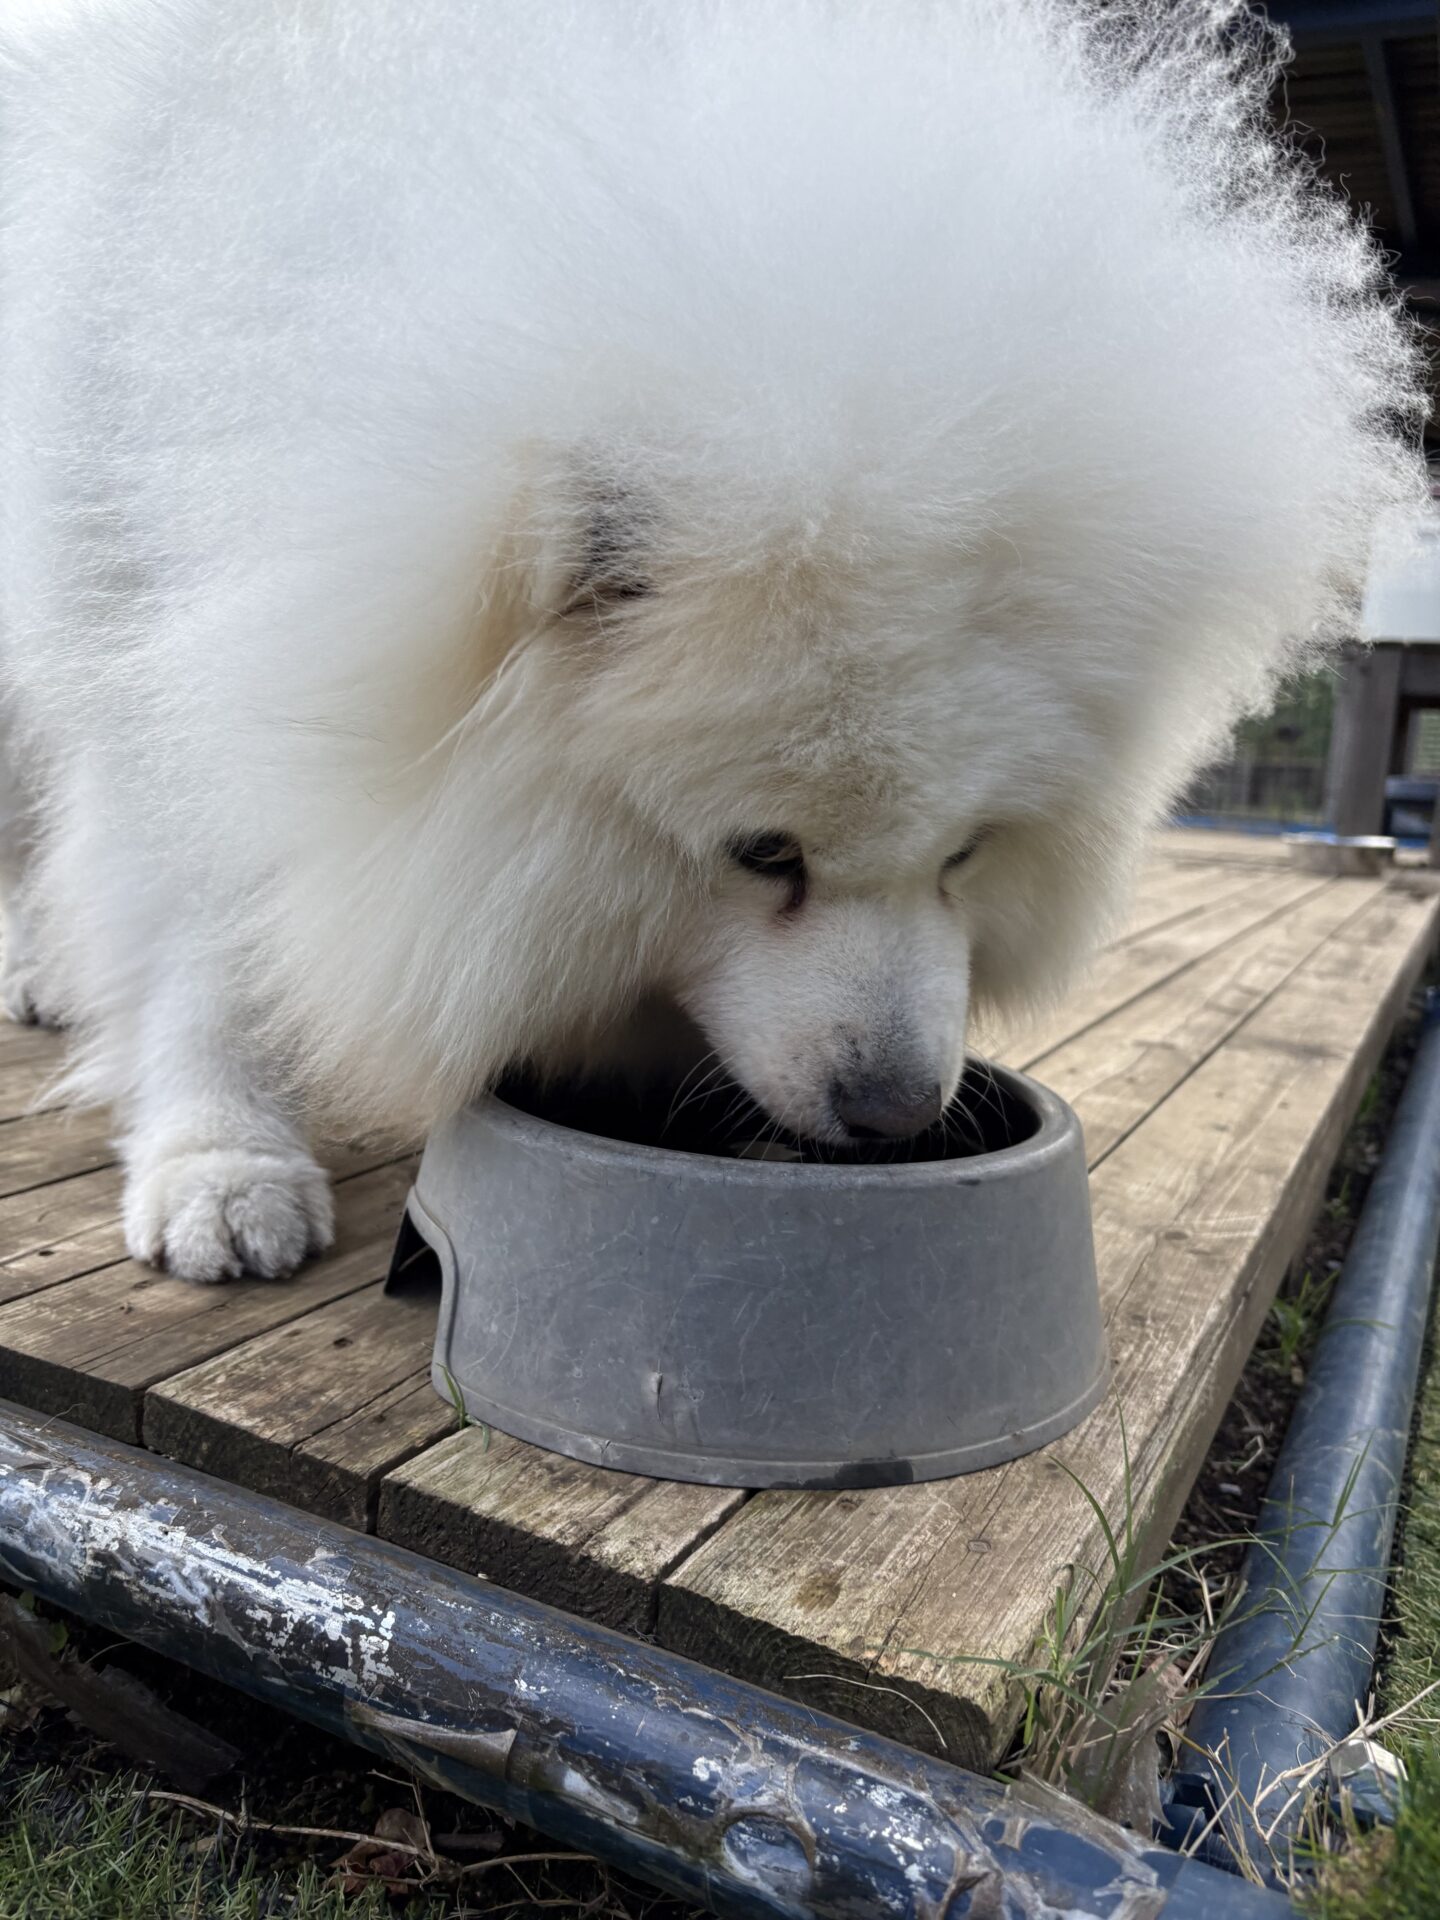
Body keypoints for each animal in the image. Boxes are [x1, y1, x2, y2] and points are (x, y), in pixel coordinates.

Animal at [0, 1, 1427, 1282]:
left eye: (967, 853)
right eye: (763, 855)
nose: (897, 1114)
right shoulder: (153, 636)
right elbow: (204, 940)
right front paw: (221, 1163)